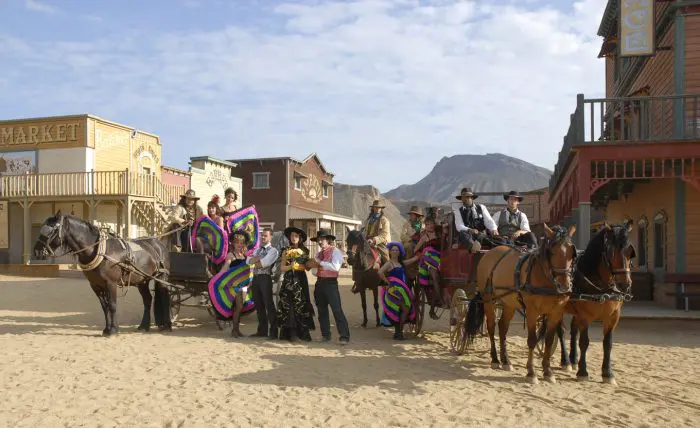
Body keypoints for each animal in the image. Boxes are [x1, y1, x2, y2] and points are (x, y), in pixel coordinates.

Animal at [34, 212, 172, 336]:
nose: (37, 251)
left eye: (51, 230)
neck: (100, 251)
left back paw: (167, 325)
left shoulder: (111, 284)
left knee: (165, 297)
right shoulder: (96, 285)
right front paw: (107, 329)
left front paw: (113, 330)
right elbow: (105, 307)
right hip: (142, 281)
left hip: (162, 278)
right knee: (147, 300)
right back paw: (144, 326)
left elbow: (112, 305)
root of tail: (158, 244)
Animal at [468, 224, 576, 384]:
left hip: (509, 303)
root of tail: (490, 252)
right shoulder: (532, 311)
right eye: (552, 252)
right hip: (488, 299)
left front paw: (548, 371)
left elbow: (549, 341)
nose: (565, 286)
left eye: (571, 253)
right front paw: (531, 372)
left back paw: (506, 361)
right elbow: (531, 340)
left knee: (503, 327)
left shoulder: (556, 312)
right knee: (492, 327)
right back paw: (495, 359)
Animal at [540, 221, 636, 384]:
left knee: (573, 330)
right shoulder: (585, 316)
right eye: (611, 252)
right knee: (561, 331)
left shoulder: (613, 316)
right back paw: (566, 361)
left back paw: (573, 359)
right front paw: (583, 371)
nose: (625, 285)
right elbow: (584, 342)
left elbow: (607, 343)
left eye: (630, 252)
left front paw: (607, 373)